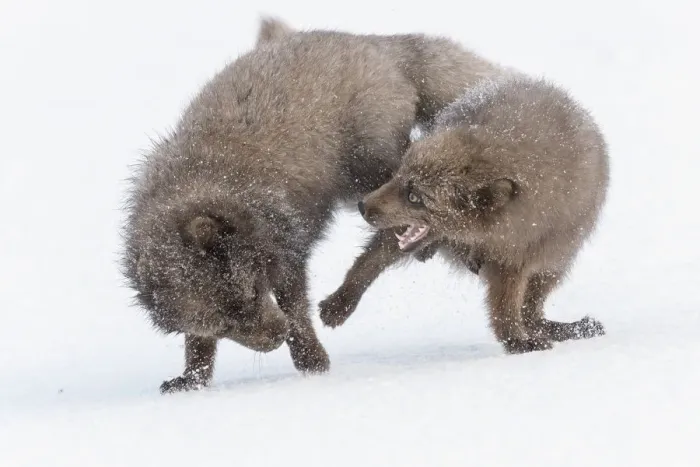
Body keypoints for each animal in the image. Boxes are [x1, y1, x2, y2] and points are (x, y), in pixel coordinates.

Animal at [122, 17, 500, 392]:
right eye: (225, 326)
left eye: (252, 293)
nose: (277, 336)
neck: (206, 185)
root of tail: (375, 45)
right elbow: (198, 344)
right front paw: (192, 377)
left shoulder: (286, 248)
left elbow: (295, 304)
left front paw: (310, 356)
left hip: (368, 165)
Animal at [320, 75, 609, 354]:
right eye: (399, 175)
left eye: (415, 197)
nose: (363, 206)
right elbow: (370, 260)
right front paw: (338, 303)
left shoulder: (515, 256)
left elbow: (505, 308)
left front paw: (517, 341)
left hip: (557, 258)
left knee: (532, 310)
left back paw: (567, 327)